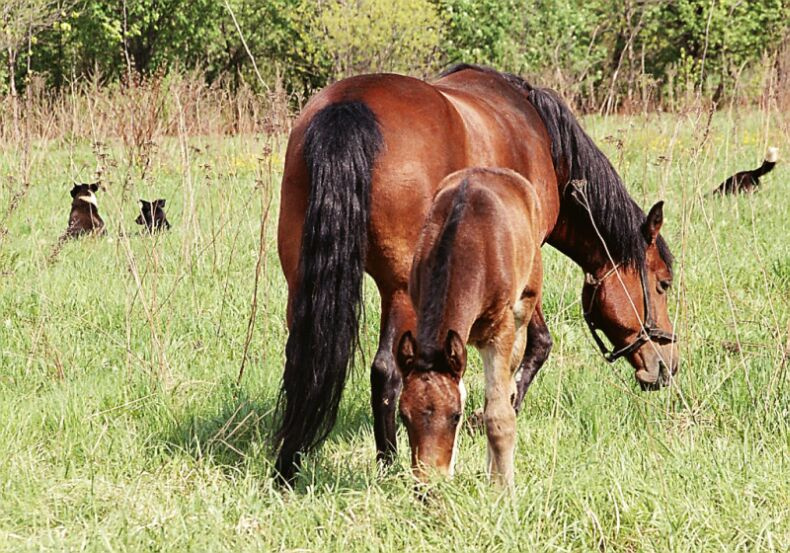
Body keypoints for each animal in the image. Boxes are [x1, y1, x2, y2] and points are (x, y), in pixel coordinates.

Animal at [396, 167, 544, 487]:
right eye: (403, 416)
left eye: (454, 416)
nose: (428, 484)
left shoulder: (500, 330)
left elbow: (498, 414)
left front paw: (504, 488)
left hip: (523, 311)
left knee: (507, 390)